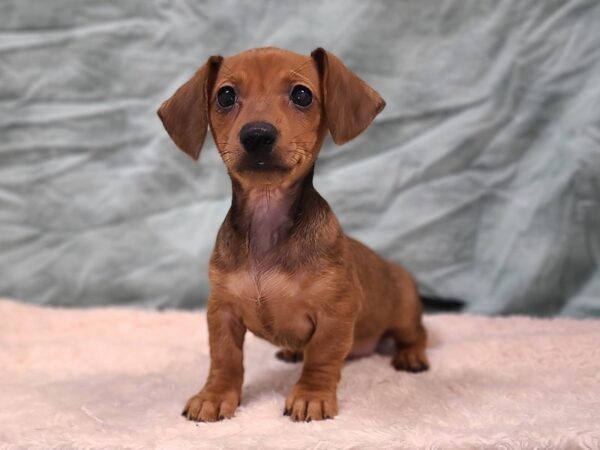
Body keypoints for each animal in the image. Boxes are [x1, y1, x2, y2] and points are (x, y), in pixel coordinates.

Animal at [157, 46, 428, 422]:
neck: (267, 223)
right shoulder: (222, 310)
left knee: (419, 333)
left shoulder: (336, 312)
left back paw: (411, 355)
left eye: (302, 95)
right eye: (225, 95)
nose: (257, 134)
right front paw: (214, 396)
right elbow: (225, 358)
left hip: (402, 313)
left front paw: (311, 395)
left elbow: (322, 356)